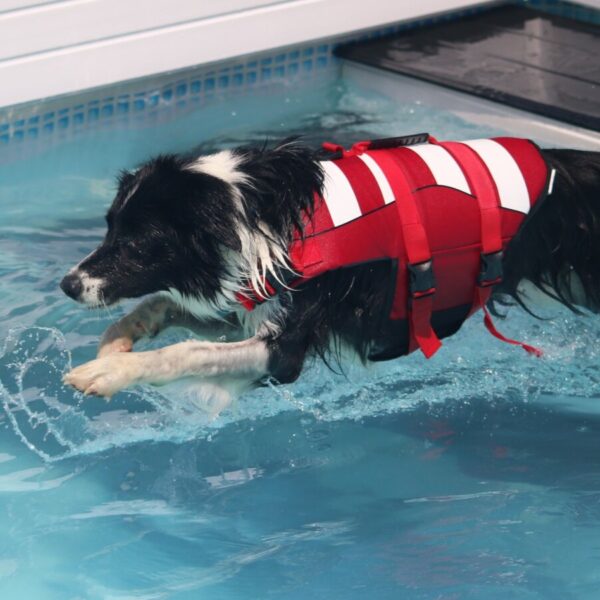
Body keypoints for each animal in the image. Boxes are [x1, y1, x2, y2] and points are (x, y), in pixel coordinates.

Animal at [61, 139, 600, 404]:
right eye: (108, 227)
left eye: (136, 244)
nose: (68, 285)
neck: (248, 213)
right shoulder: (254, 299)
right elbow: (163, 304)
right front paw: (117, 340)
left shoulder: (285, 347)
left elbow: (188, 351)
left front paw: (111, 372)